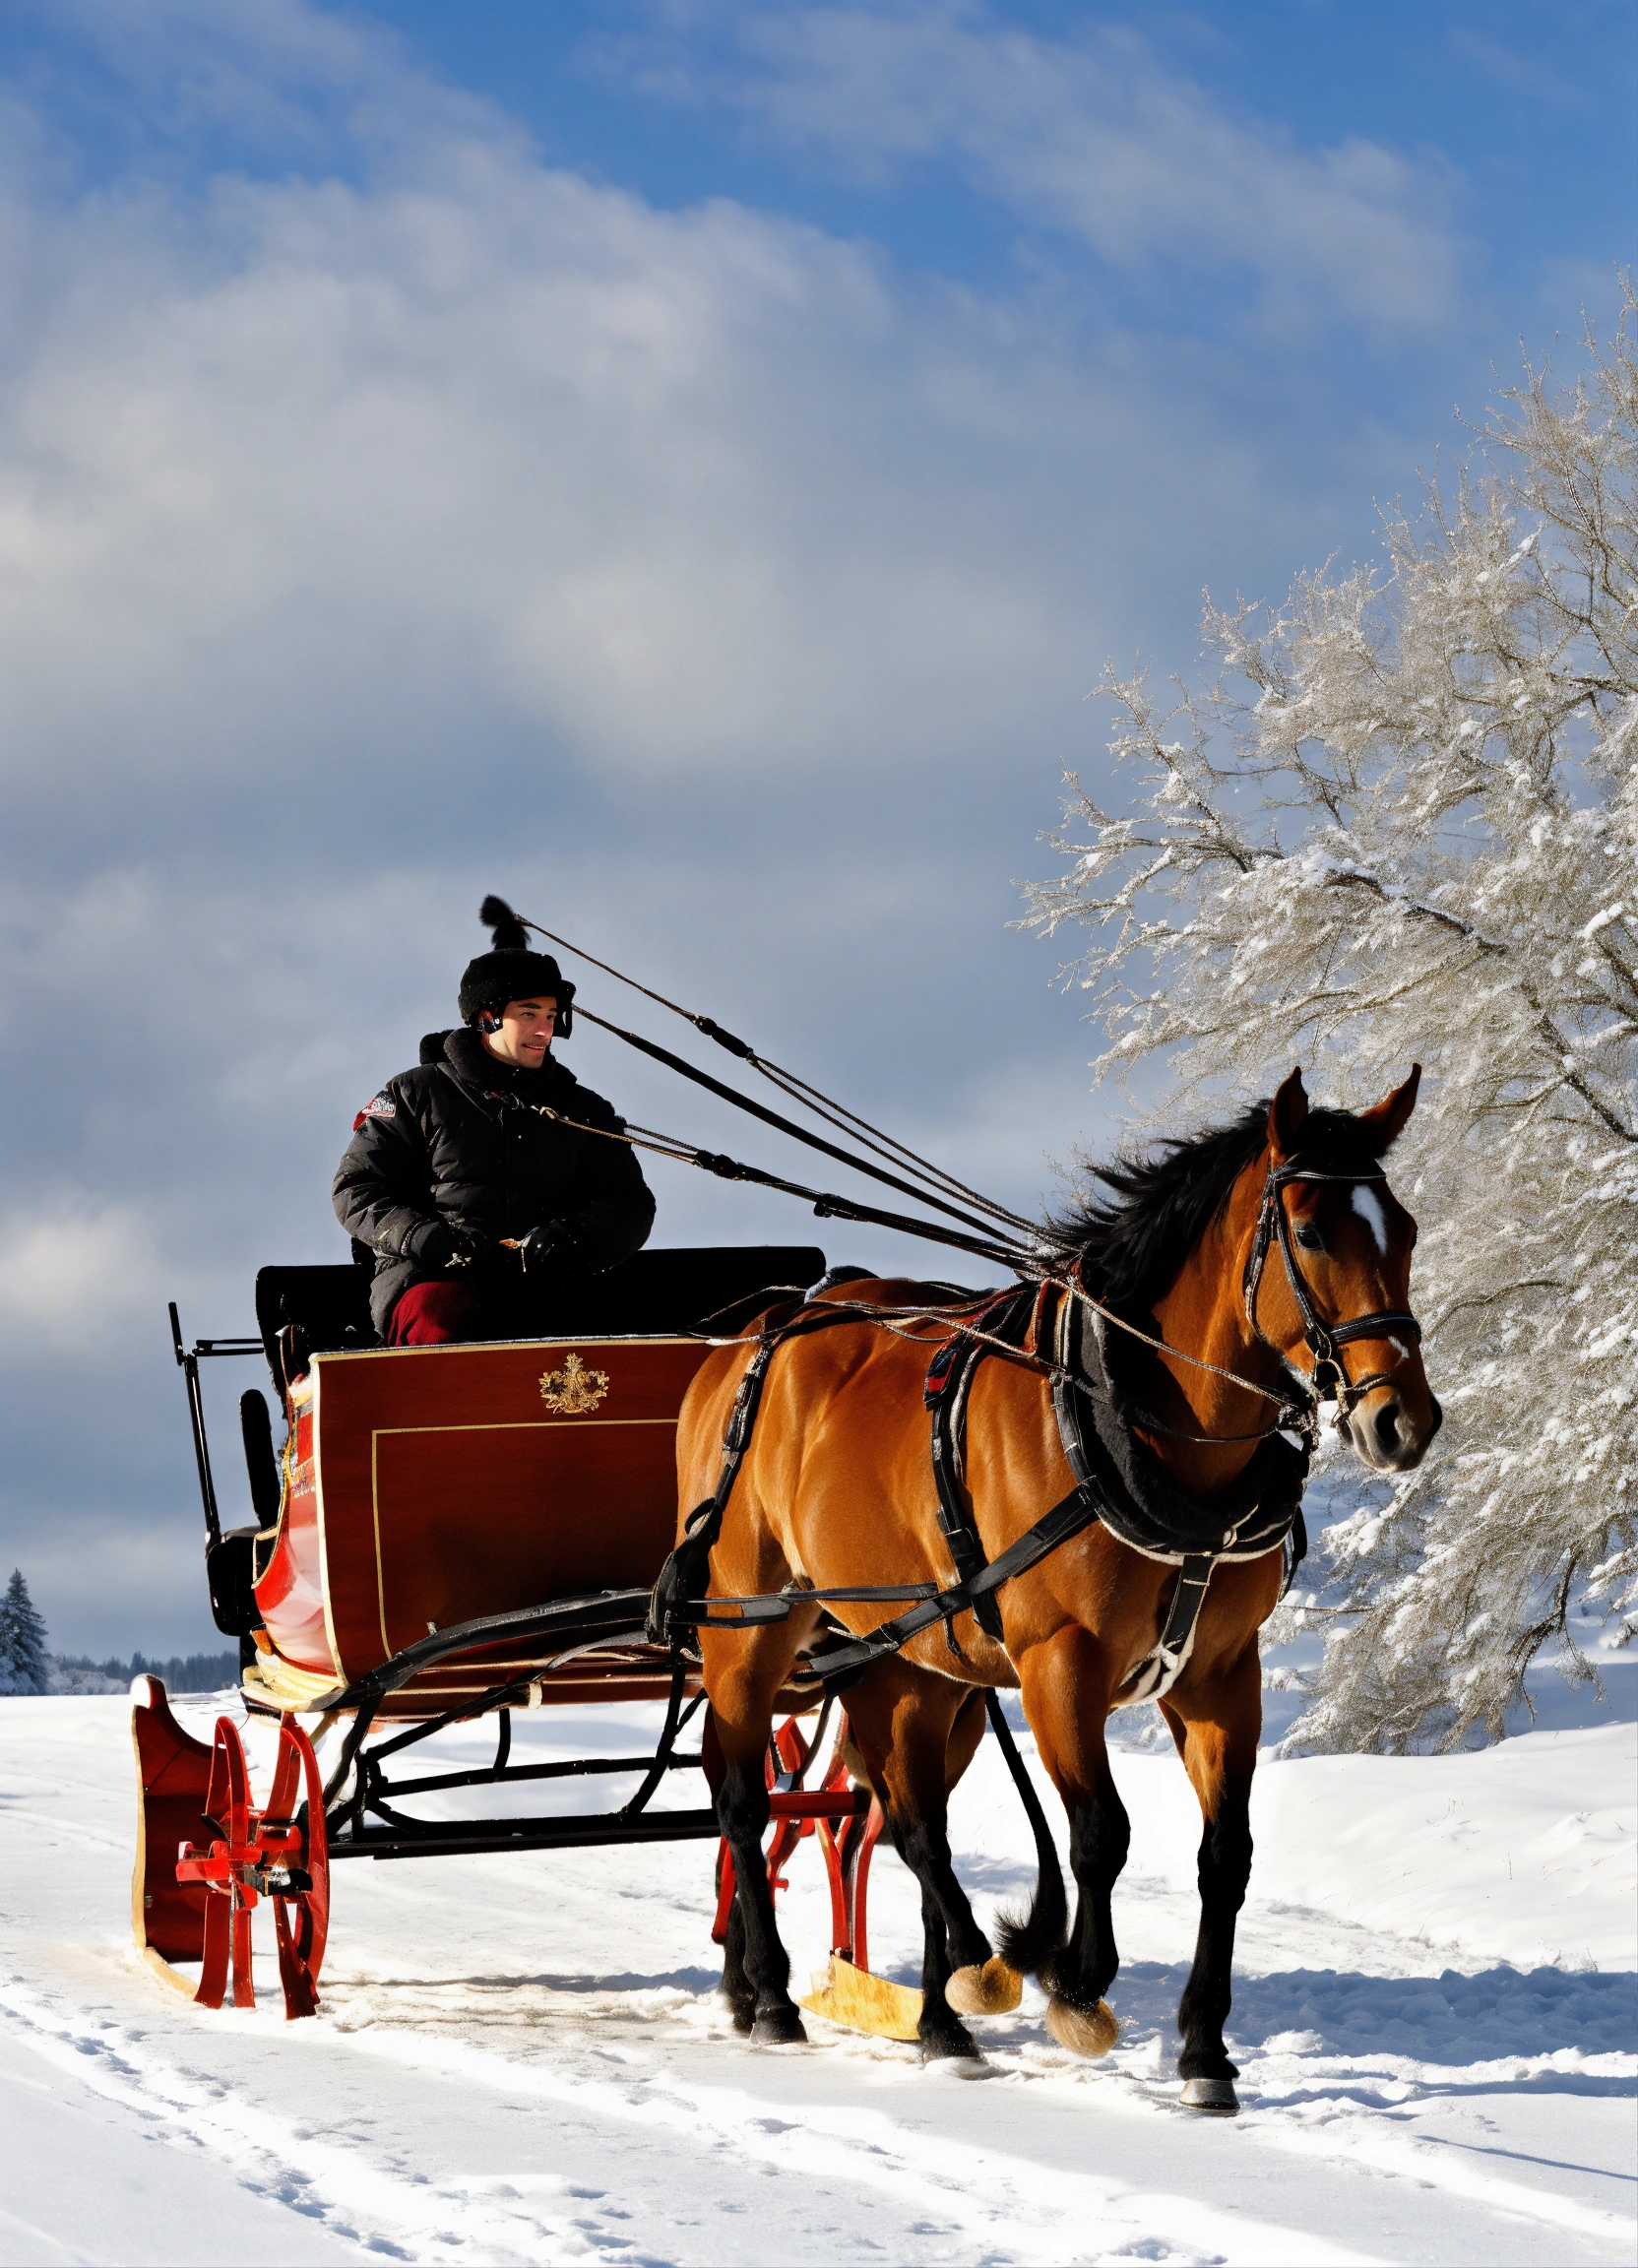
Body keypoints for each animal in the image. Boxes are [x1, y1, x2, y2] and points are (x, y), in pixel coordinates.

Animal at [676, 1067, 1440, 2109]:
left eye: (1403, 1228)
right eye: (1315, 1233)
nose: (1407, 1421)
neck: (1128, 1418)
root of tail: (749, 1335)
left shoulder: (1219, 1675)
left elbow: (1225, 1856)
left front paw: (1204, 2050)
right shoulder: (1059, 1666)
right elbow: (1100, 1834)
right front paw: (1078, 1986)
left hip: (914, 1660)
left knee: (907, 1823)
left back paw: (942, 2011)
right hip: (749, 1631)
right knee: (745, 1801)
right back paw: (776, 1993)